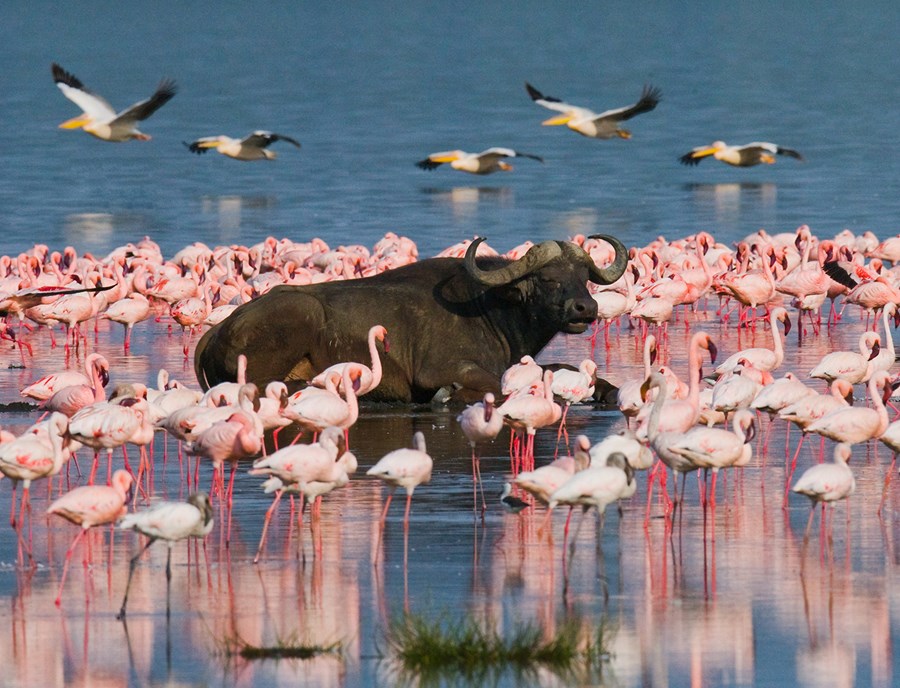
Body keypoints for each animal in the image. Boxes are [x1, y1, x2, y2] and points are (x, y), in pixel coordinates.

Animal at [194, 235, 627, 403]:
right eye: (548, 279)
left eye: (583, 277)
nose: (585, 309)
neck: (490, 309)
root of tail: (218, 330)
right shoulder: (442, 370)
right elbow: (497, 386)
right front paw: (450, 396)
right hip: (300, 314)